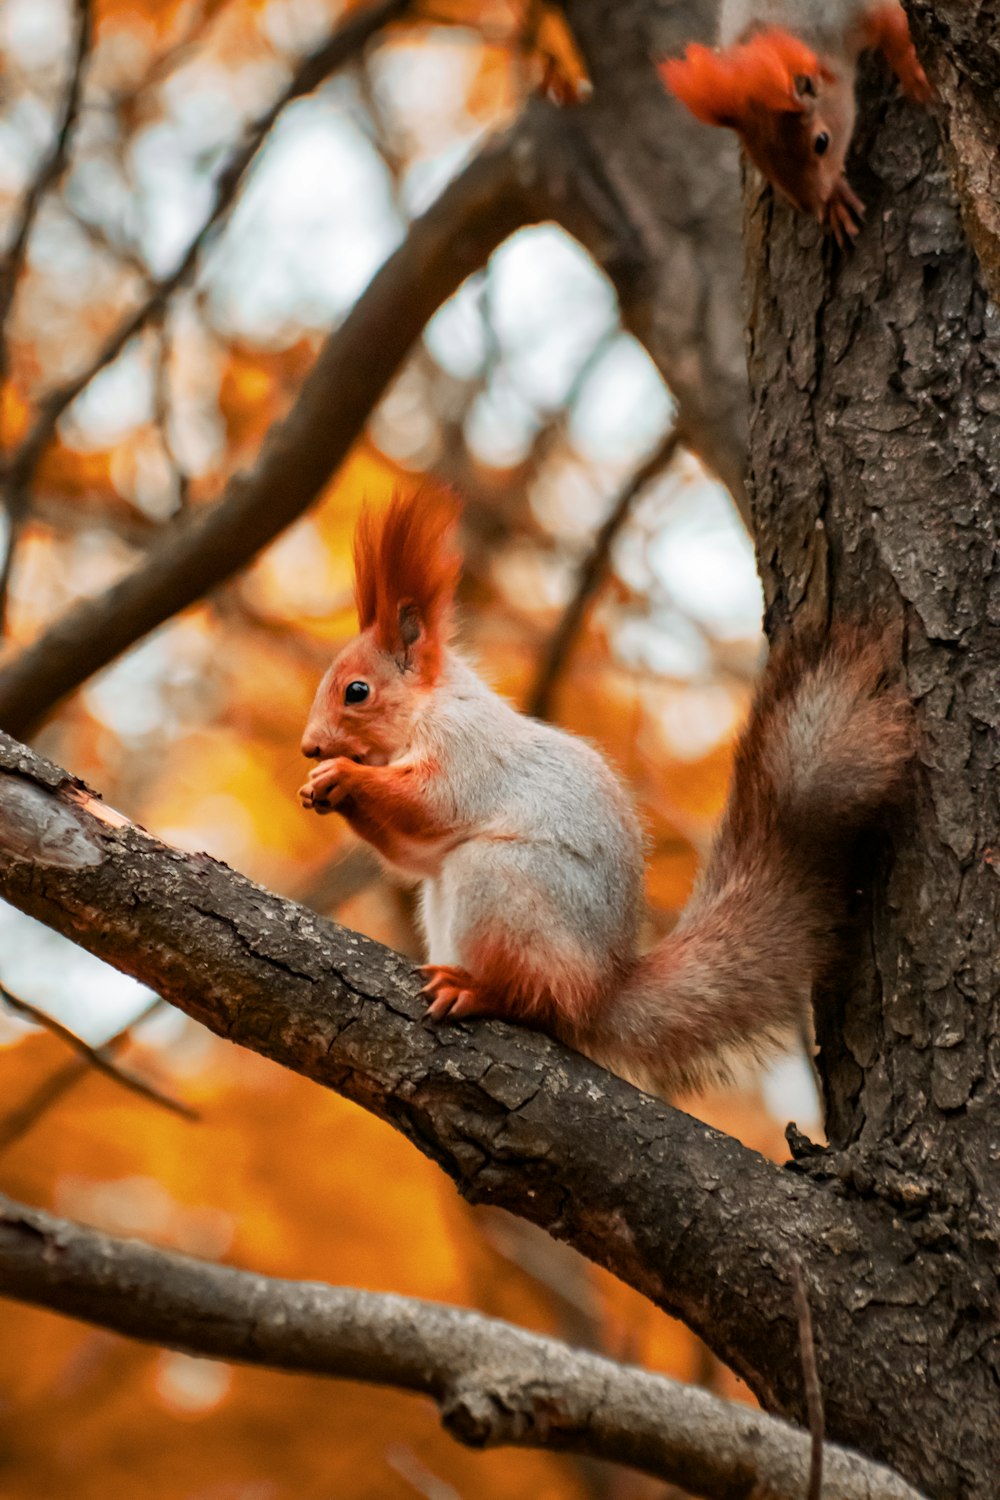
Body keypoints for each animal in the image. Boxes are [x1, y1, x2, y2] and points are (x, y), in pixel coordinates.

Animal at [299, 489, 917, 1092]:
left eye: (357, 691)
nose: (310, 748)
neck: (427, 709)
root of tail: (600, 989)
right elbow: (411, 853)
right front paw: (319, 789)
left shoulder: (467, 750)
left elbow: (432, 805)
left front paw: (344, 776)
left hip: (502, 884)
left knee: (539, 1002)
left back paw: (477, 991)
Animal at [659, 2, 935, 243]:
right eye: (755, 156)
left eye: (822, 142)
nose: (812, 206)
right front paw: (836, 200)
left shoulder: (857, 14)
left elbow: (895, 30)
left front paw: (916, 76)